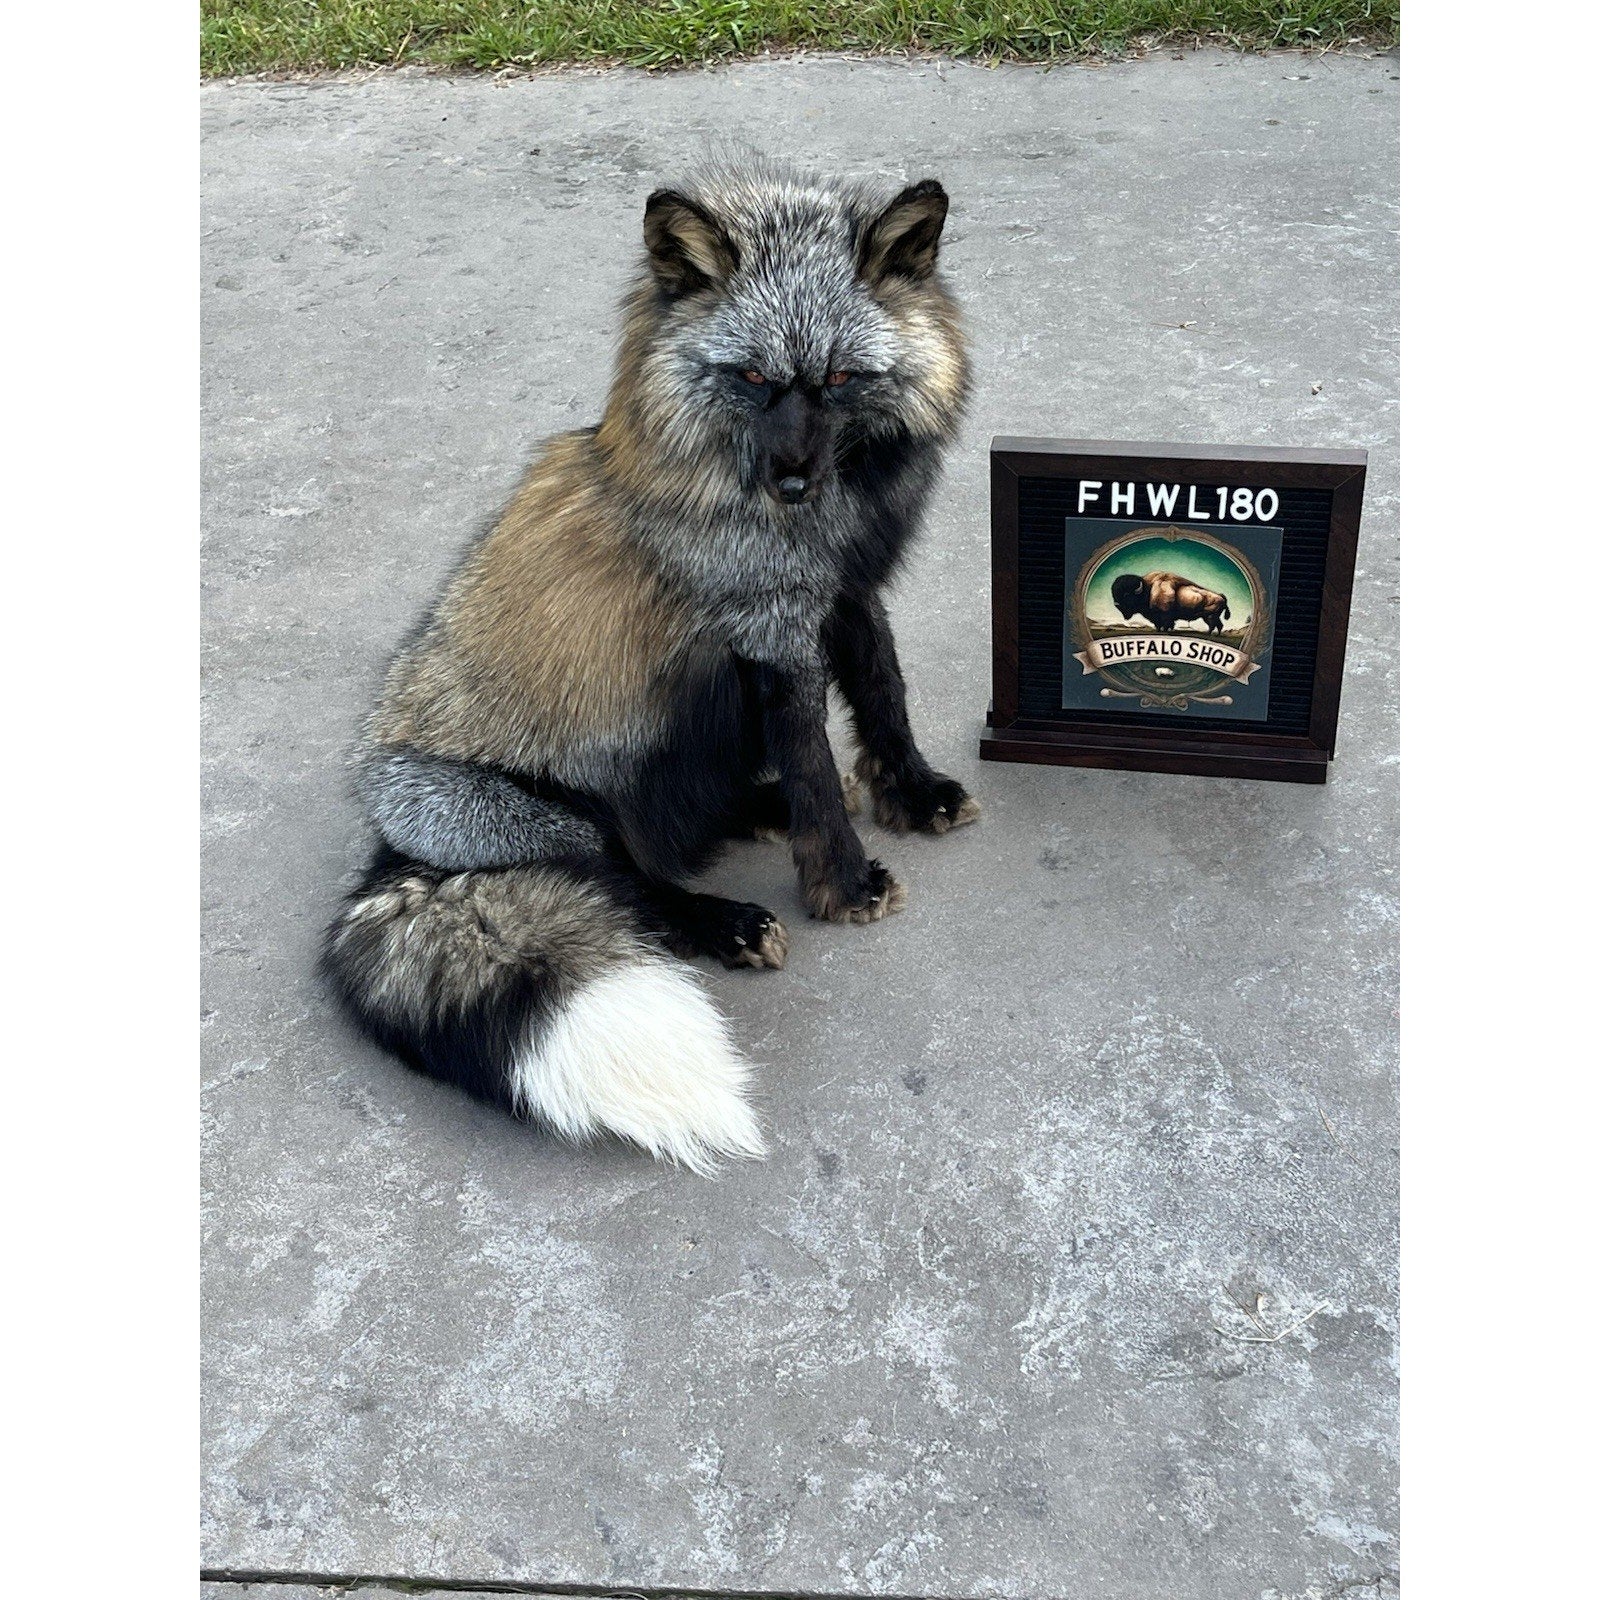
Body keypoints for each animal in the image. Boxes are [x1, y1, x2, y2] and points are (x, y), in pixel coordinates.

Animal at [321, 160, 978, 1174]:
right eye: (752, 377)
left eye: (837, 378)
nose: (791, 482)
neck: (836, 510)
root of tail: (396, 859)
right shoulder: (774, 626)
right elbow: (817, 765)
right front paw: (844, 885)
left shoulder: (844, 594)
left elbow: (883, 698)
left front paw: (910, 792)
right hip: (561, 818)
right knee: (635, 883)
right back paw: (723, 919)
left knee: (688, 821)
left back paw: (755, 811)